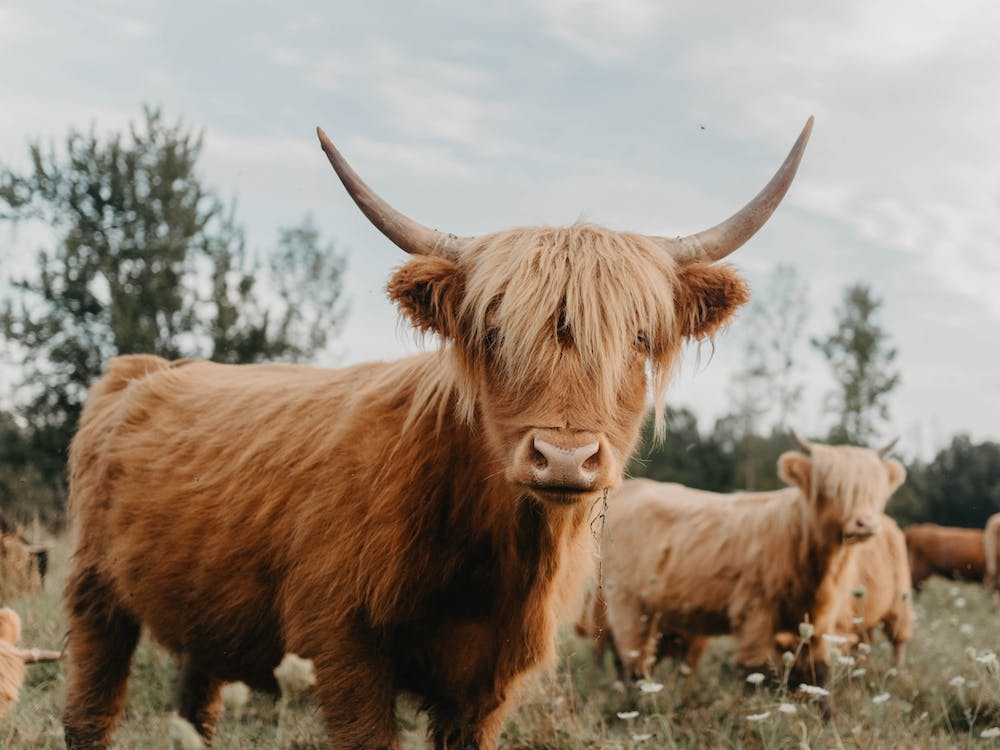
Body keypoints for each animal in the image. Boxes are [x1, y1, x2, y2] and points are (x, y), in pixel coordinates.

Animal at [61, 118, 812, 750]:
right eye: (493, 334)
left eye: (638, 338)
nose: (565, 457)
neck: (487, 553)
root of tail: (146, 367)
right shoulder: (345, 650)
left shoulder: (487, 685)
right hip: (95, 591)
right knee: (90, 707)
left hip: (204, 612)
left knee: (197, 707)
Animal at [600, 435, 905, 687]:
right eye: (831, 488)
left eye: (877, 490)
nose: (866, 524)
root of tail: (631, 487)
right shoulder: (754, 613)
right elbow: (755, 672)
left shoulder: (819, 620)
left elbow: (818, 673)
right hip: (626, 603)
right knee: (632, 664)